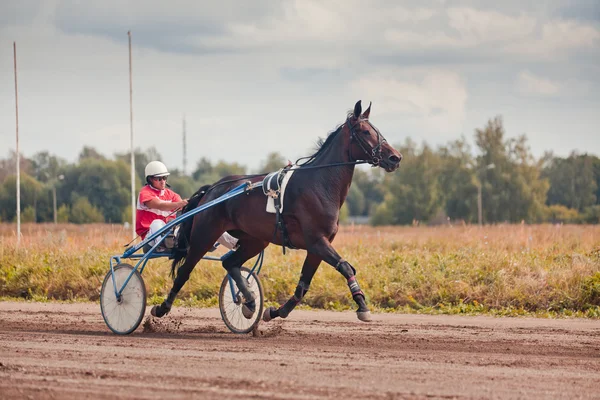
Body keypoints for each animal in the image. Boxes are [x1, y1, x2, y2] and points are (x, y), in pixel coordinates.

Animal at [151, 101, 404, 324]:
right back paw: (162, 308)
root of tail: (213, 188)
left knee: (230, 262)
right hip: (205, 234)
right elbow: (345, 266)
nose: (395, 157)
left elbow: (303, 286)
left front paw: (274, 312)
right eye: (365, 131)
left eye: (377, 130)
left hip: (254, 240)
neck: (320, 183)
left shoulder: (317, 247)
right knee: (185, 271)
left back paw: (249, 301)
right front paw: (362, 306)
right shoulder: (317, 241)